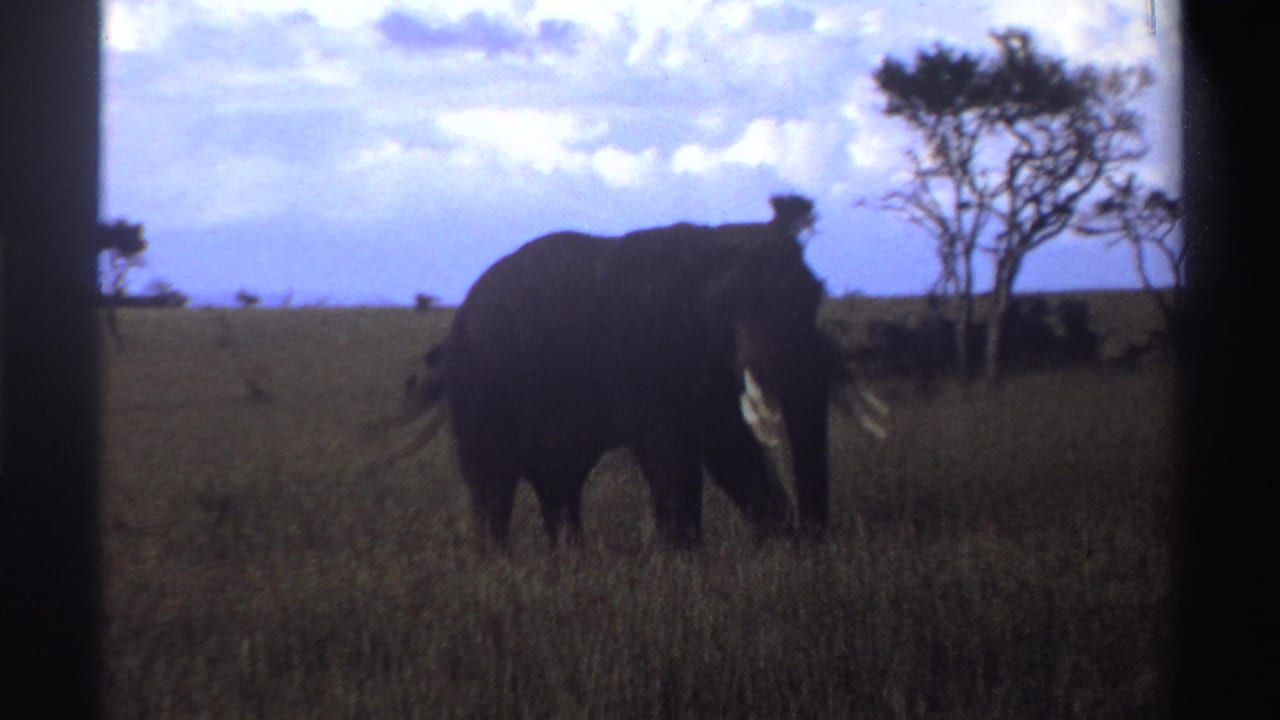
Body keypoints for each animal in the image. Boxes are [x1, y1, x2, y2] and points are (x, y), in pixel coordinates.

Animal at [428, 195, 883, 549]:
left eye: (816, 295)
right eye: (733, 307)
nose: (812, 537)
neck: (711, 247)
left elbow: (733, 452)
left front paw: (778, 547)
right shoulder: (646, 356)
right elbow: (674, 454)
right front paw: (680, 560)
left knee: (559, 481)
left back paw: (569, 560)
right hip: (477, 387)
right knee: (494, 483)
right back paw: (500, 564)